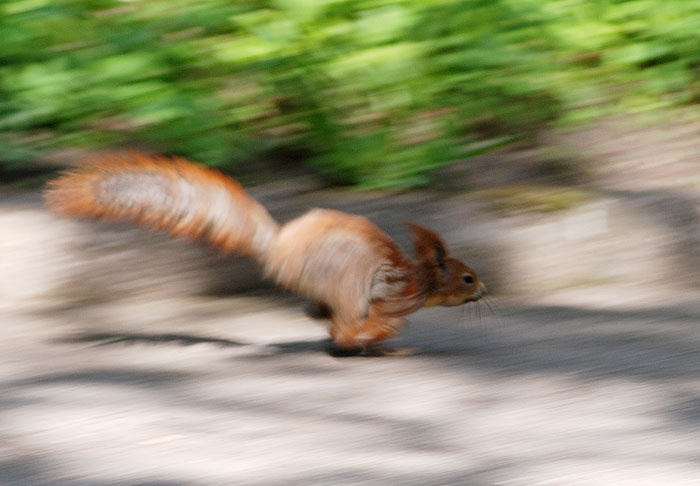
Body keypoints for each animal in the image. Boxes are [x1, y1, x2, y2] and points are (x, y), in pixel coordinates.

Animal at [44, 152, 487, 355]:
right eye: (467, 277)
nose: (485, 290)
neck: (419, 280)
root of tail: (280, 246)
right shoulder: (389, 295)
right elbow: (371, 319)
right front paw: (383, 337)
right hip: (344, 281)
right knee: (344, 326)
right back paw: (370, 337)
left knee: (326, 318)